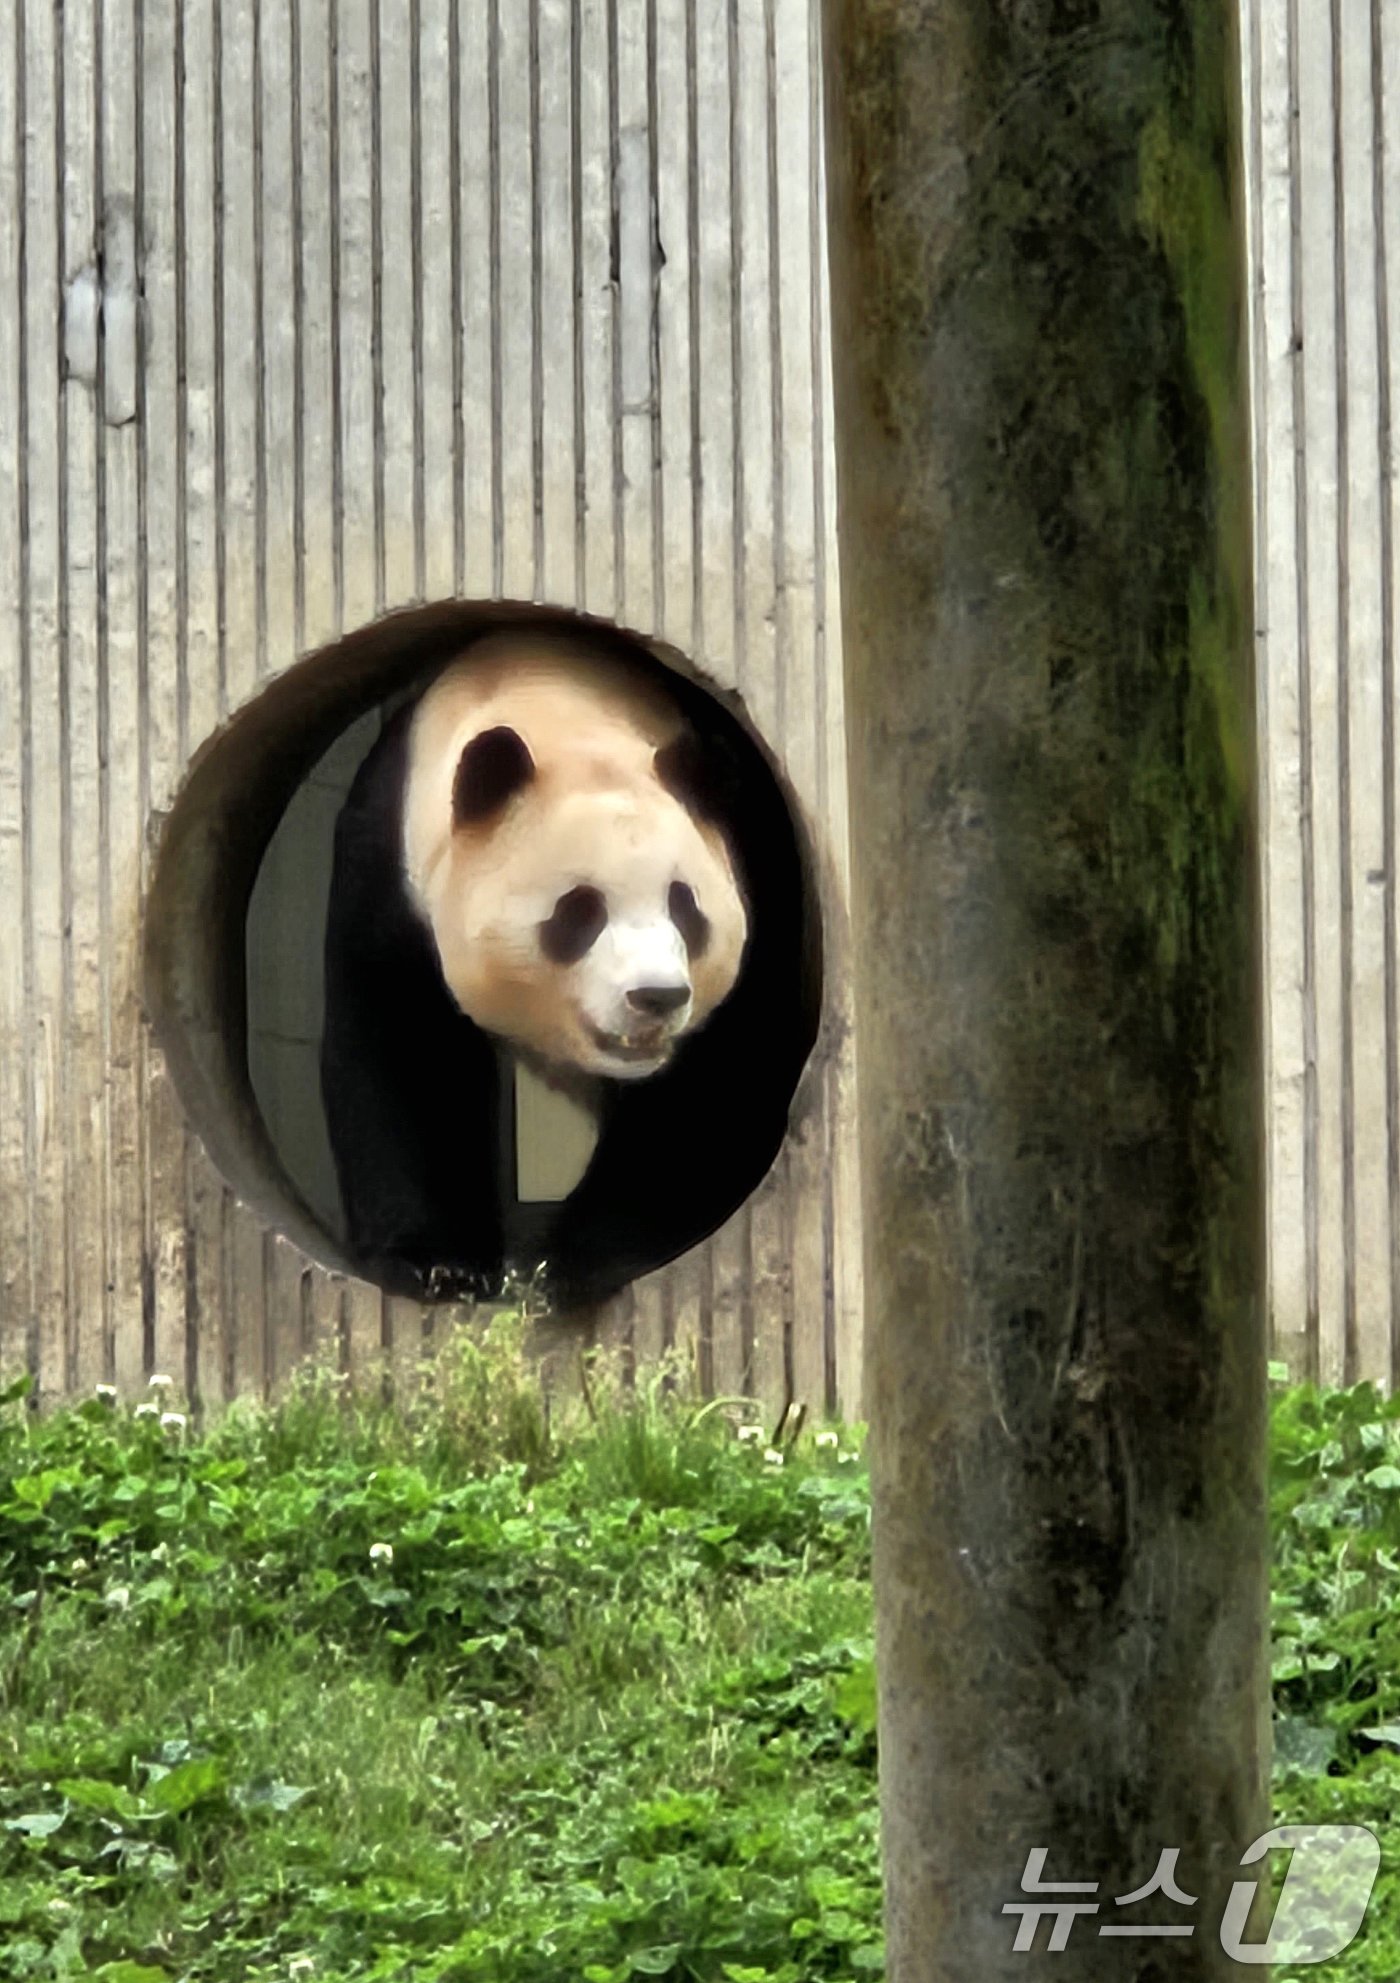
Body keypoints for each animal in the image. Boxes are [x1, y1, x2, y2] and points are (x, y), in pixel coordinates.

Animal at [321, 626, 813, 1308]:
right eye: (579, 911)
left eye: (686, 907)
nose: (656, 996)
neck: (555, 704)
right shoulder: (389, 865)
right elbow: (402, 1050)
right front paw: (439, 1267)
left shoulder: (754, 853)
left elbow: (715, 1087)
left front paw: (570, 1264)